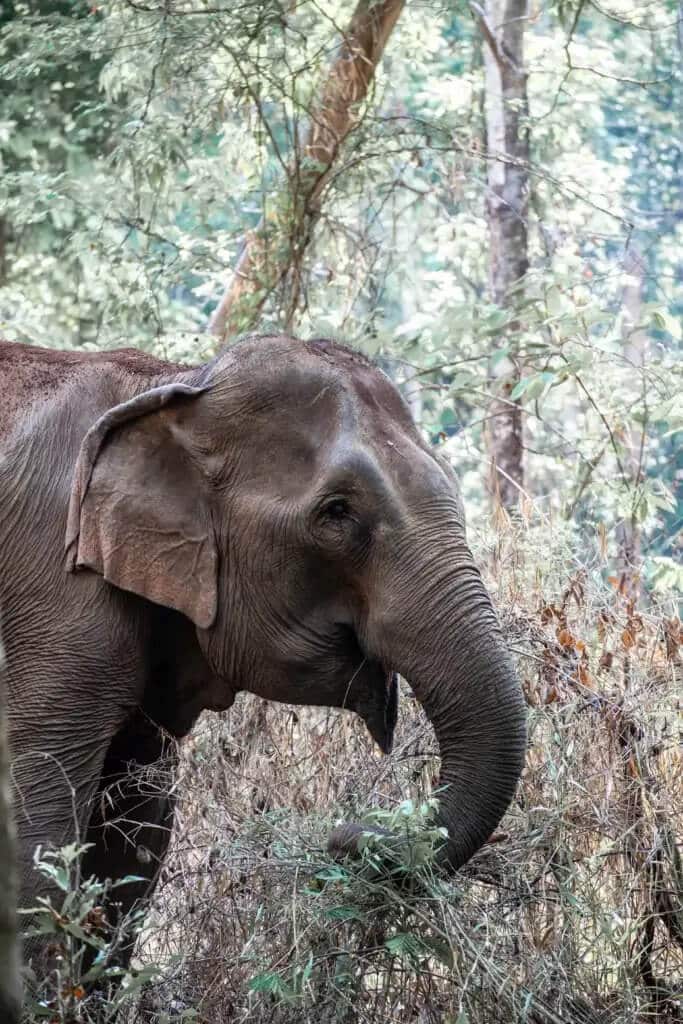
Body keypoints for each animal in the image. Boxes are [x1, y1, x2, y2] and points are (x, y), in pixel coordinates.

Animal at [0, 333, 526, 976]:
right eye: (337, 512)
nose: (343, 836)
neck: (176, 386)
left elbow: (136, 833)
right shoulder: (55, 599)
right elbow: (39, 831)